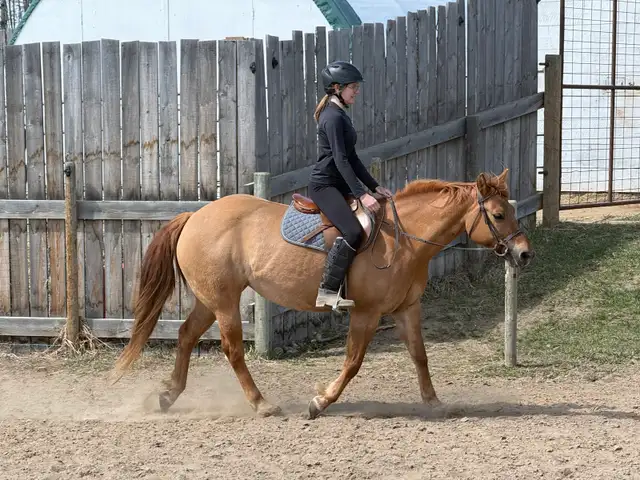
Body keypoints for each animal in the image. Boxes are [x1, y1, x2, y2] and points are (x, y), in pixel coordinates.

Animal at [110, 168, 535, 419]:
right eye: (499, 215)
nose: (524, 254)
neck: (403, 239)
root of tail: (195, 216)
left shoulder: (406, 308)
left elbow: (420, 355)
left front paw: (433, 403)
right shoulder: (366, 312)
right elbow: (353, 362)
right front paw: (320, 402)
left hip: (210, 300)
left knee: (185, 335)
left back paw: (168, 396)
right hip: (226, 303)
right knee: (232, 350)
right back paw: (262, 404)